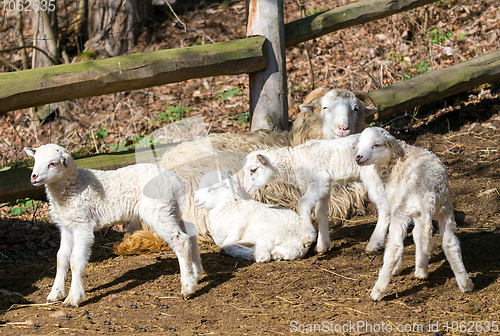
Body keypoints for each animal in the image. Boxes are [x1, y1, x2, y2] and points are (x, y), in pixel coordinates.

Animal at [23, 144, 203, 308]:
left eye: (52, 163)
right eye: (35, 160)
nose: (33, 177)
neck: (74, 185)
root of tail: (174, 179)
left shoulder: (82, 224)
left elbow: (75, 260)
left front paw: (73, 298)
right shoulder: (67, 227)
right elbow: (61, 258)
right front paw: (55, 293)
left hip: (159, 210)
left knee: (180, 240)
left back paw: (187, 288)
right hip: (173, 208)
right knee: (190, 233)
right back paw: (196, 274)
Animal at [242, 135, 390, 253]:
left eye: (253, 170)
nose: (245, 188)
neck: (294, 163)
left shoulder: (319, 181)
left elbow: (302, 203)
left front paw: (308, 237)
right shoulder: (325, 186)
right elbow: (320, 213)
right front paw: (322, 245)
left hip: (372, 174)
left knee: (384, 206)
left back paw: (374, 244)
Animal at [356, 127, 472, 300]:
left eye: (376, 145)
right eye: (360, 143)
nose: (358, 157)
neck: (394, 163)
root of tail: (429, 190)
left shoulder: (397, 206)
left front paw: (397, 269)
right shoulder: (419, 214)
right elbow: (418, 236)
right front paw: (421, 269)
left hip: (403, 210)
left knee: (395, 247)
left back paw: (378, 291)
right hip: (444, 209)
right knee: (450, 243)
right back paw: (465, 283)